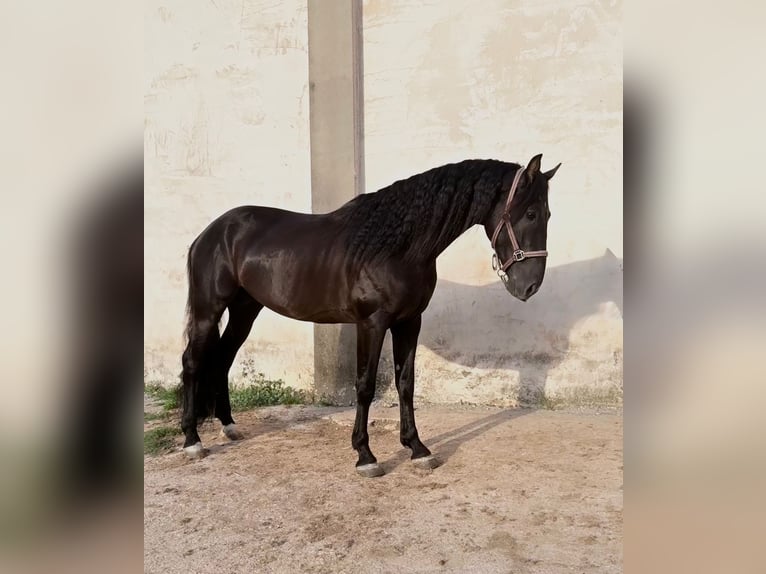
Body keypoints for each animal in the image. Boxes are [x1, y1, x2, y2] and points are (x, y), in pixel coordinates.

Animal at [179, 154, 561, 477]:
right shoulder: (371, 324)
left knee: (223, 358)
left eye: (547, 215)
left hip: (246, 310)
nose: (530, 285)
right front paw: (365, 456)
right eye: (530, 214)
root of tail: (211, 233)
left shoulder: (409, 322)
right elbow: (364, 385)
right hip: (208, 310)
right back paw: (192, 440)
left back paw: (229, 426)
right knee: (192, 362)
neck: (396, 246)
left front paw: (418, 449)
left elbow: (406, 384)